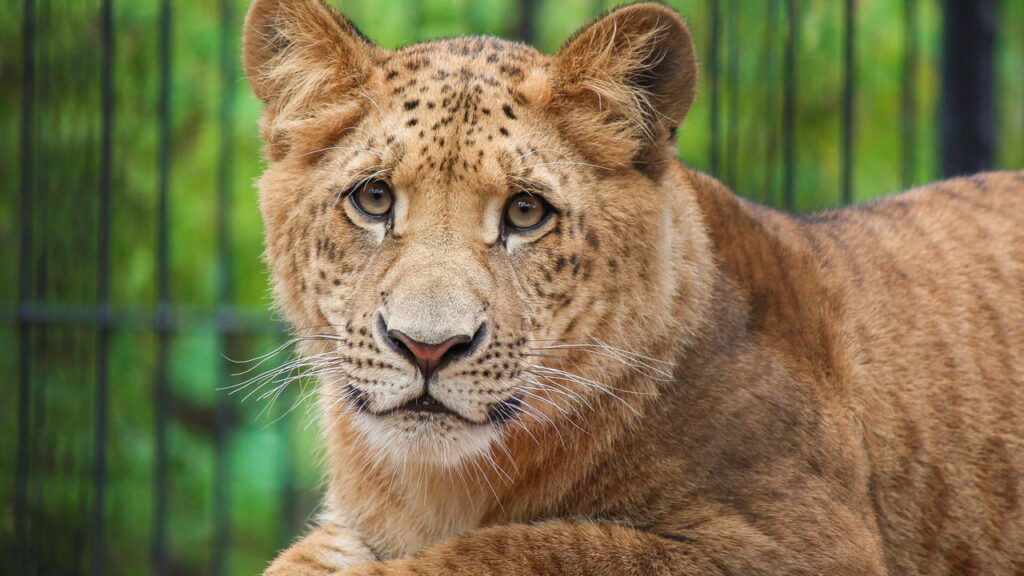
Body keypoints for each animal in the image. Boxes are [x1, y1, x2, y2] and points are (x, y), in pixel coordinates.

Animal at [241, 0, 1024, 574]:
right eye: (374, 200)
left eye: (525, 213)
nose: (427, 348)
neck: (435, 486)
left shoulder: (806, 542)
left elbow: (538, 547)